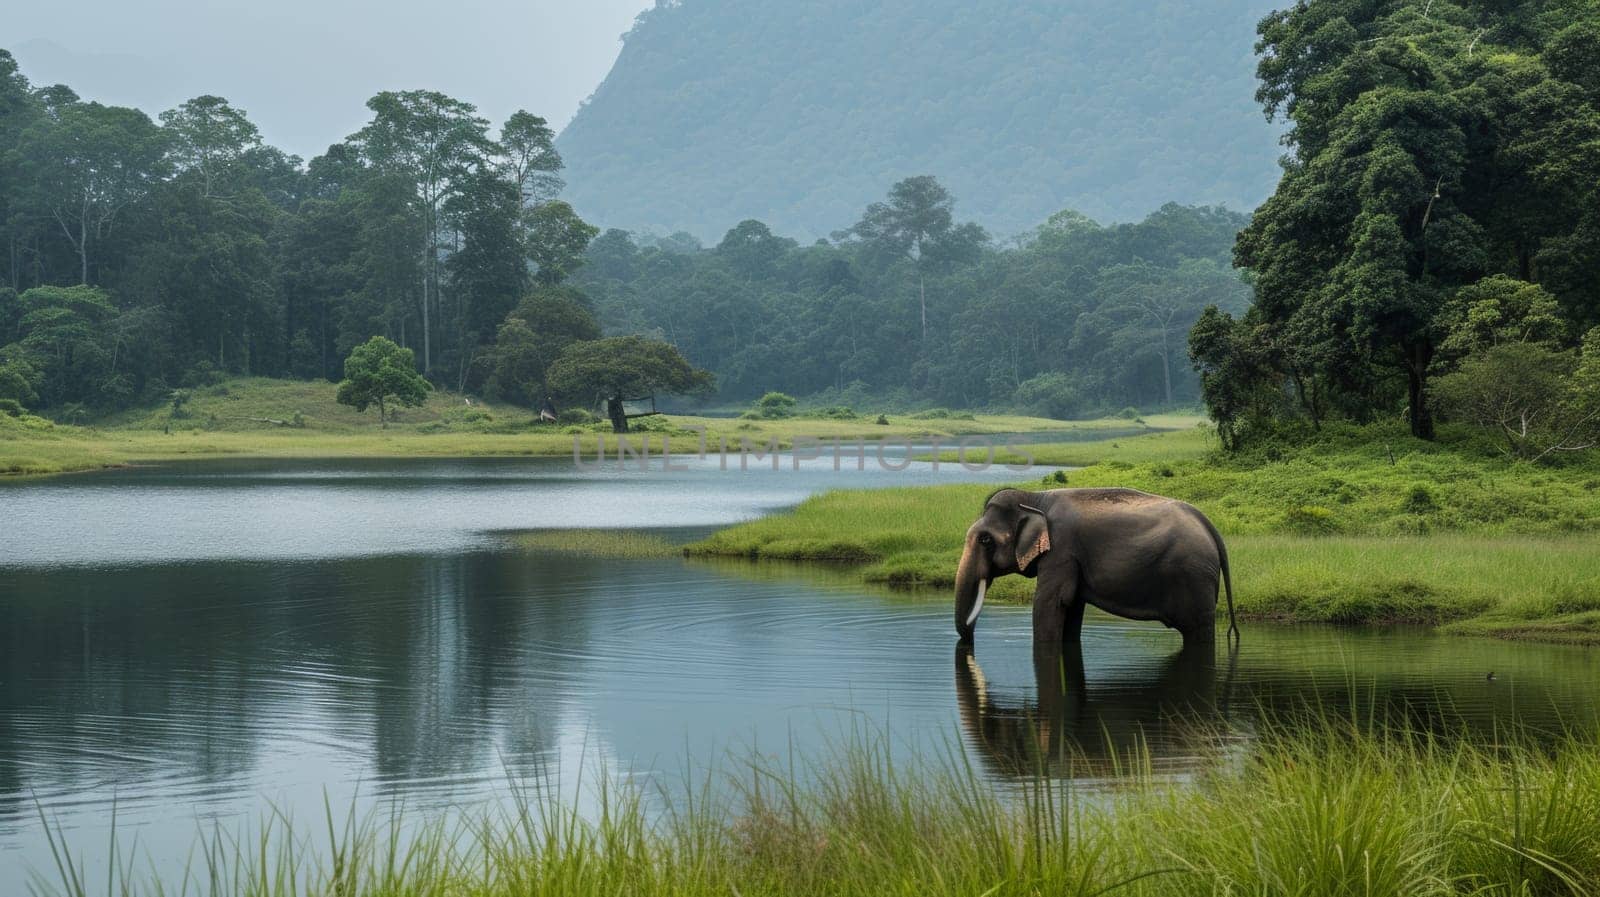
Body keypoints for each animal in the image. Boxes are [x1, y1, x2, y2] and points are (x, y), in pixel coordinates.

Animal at [947, 486, 1235, 645]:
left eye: (985, 540)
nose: (969, 643)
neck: (1035, 498)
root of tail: (1210, 527)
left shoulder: (1061, 550)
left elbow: (1050, 602)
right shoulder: (1071, 558)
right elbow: (1072, 605)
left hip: (1193, 576)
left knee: (1198, 631)